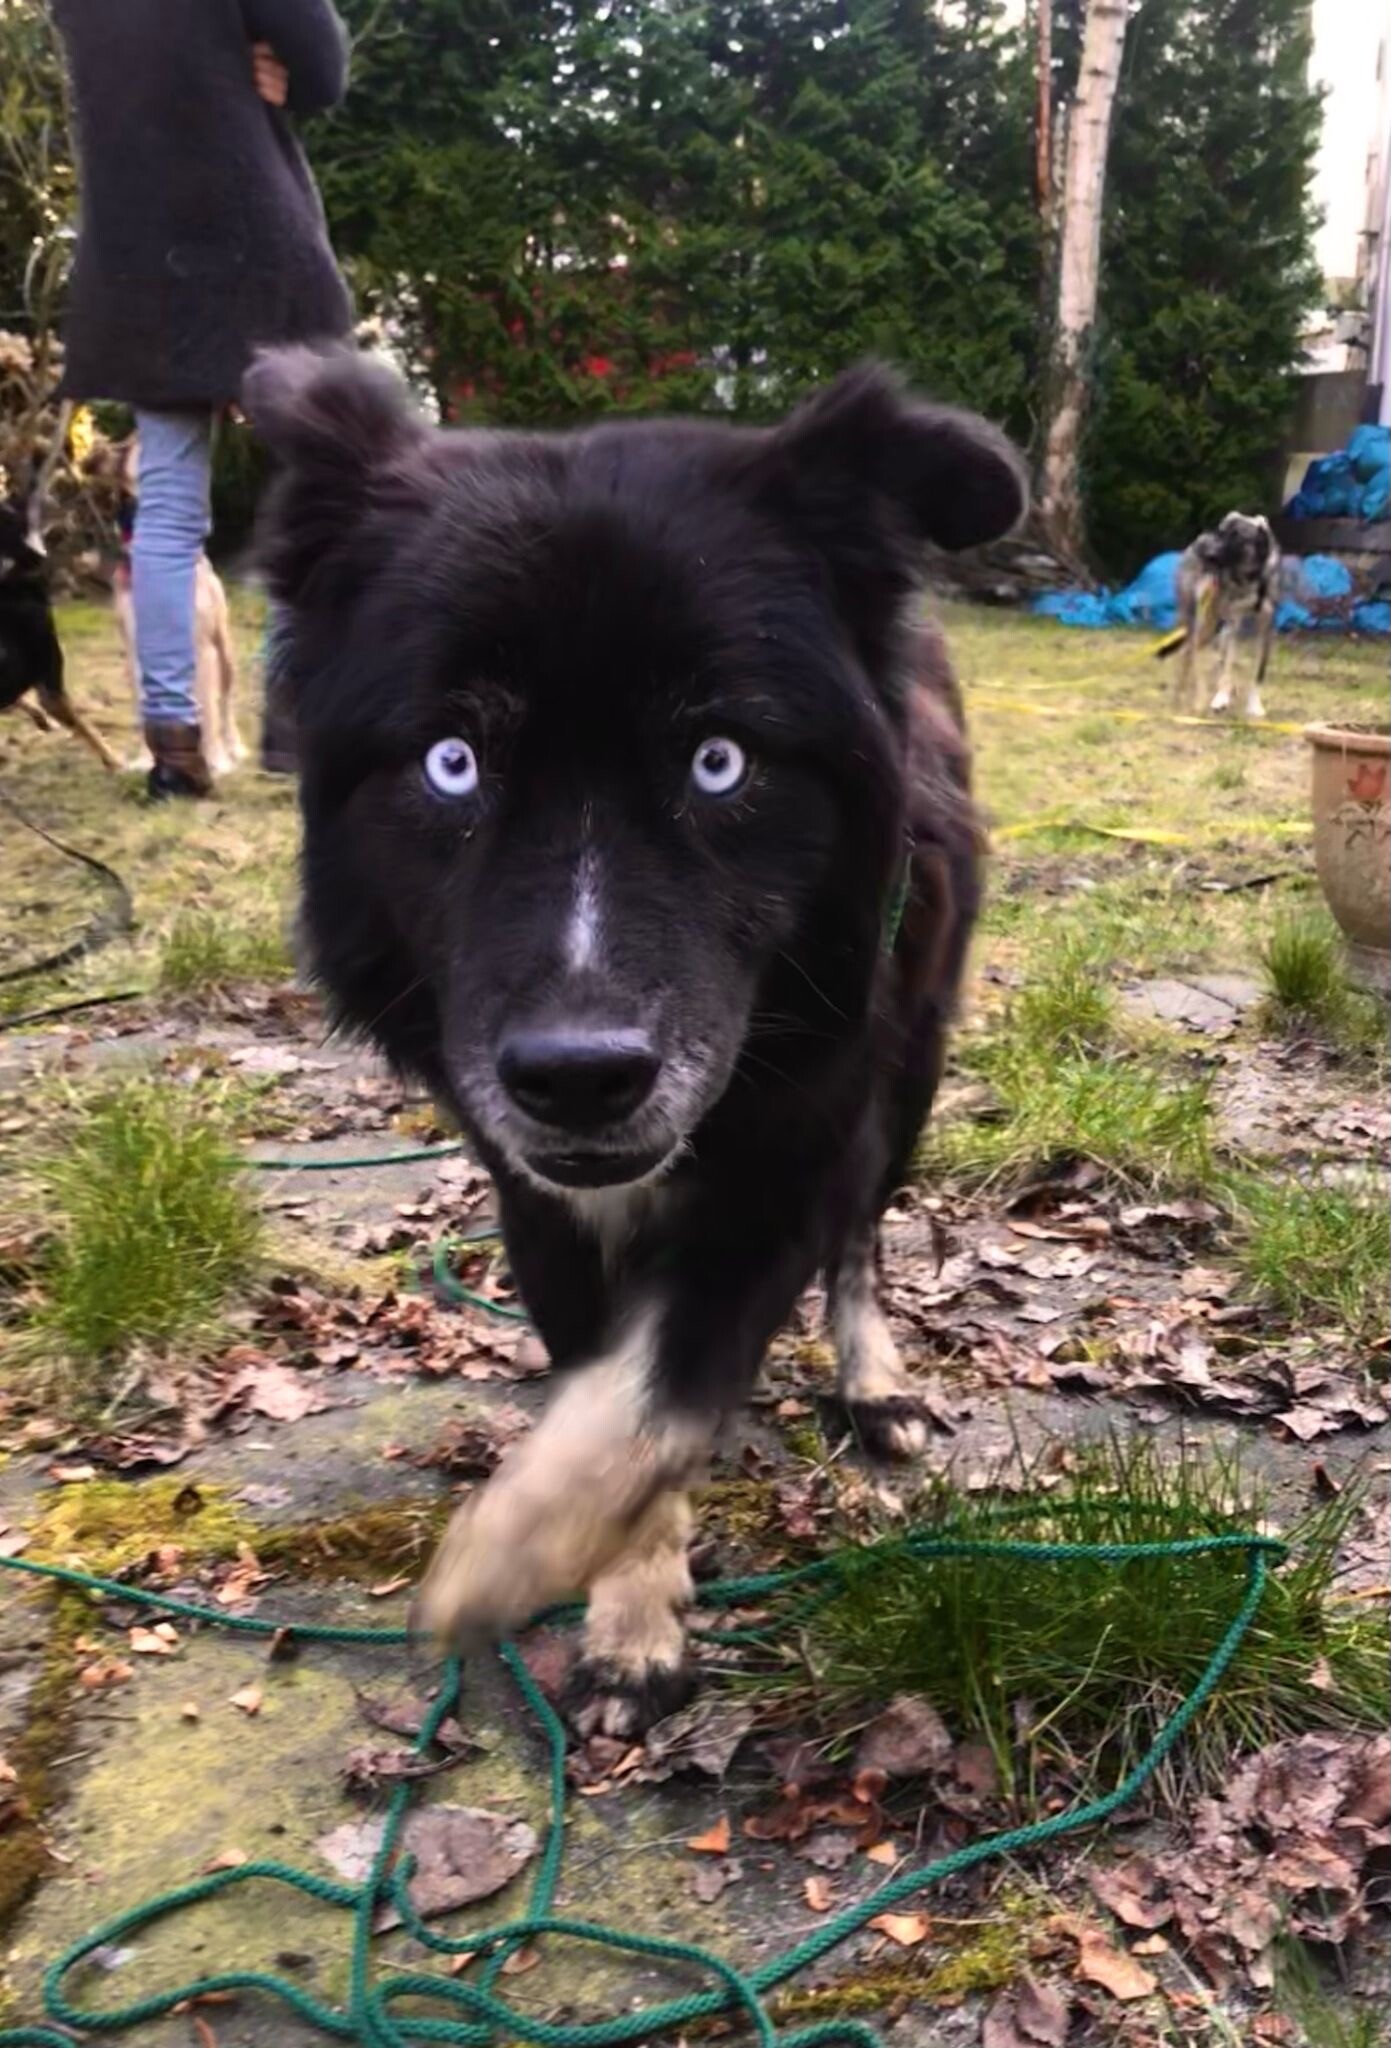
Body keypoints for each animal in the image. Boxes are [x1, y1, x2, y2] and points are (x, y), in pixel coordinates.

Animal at [113, 441, 246, 775]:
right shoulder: (135, 652)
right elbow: (142, 711)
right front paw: (145, 759)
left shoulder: (203, 648)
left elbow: (210, 712)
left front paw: (216, 761)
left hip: (224, 654)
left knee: (224, 705)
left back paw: (233, 747)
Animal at [246, 348, 1025, 1734]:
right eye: (452, 761)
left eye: (718, 759)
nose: (579, 1078)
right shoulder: (533, 1196)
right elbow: (606, 1381)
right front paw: (629, 1598)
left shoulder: (793, 1147)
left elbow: (661, 1386)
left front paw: (518, 1546)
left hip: (914, 1065)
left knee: (863, 1239)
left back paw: (871, 1376)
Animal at [1159, 511, 1279, 720]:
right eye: (1221, 532)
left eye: (1237, 536)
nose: (1206, 553)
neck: (1249, 578)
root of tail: (1196, 541)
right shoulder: (1233, 623)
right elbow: (1228, 667)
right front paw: (1220, 699)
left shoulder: (1266, 625)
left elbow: (1258, 671)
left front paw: (1254, 705)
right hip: (1198, 621)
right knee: (1189, 653)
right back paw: (1190, 697)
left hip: (1212, 626)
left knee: (1198, 653)